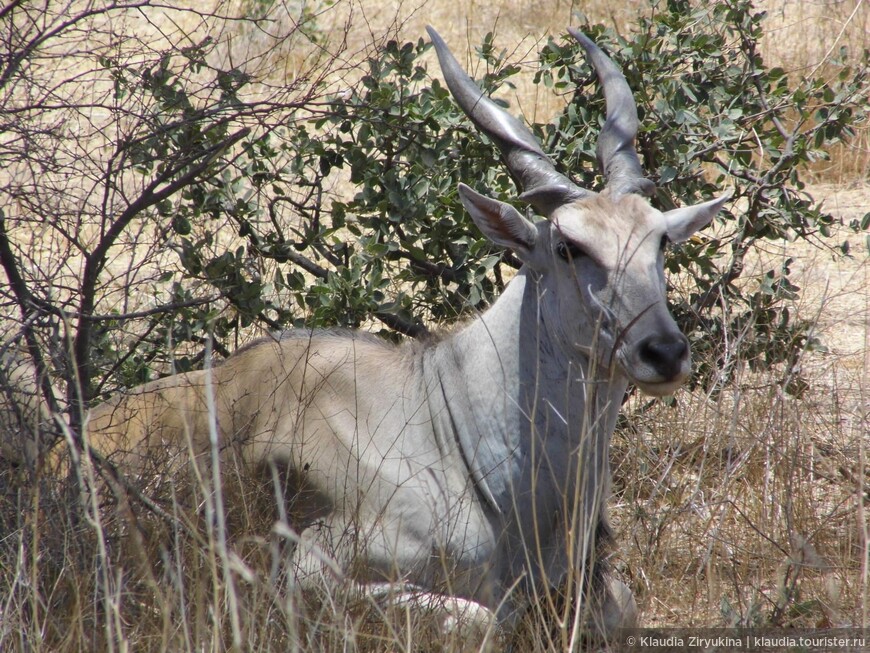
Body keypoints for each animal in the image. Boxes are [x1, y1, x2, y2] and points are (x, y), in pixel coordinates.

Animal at [78, 28, 728, 640]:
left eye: (660, 240)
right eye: (569, 246)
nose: (664, 352)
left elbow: (623, 607)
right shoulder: (307, 576)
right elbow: (478, 620)